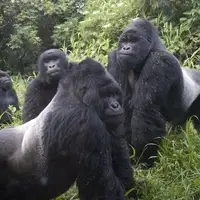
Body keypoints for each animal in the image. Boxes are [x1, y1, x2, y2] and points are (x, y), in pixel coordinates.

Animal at [0, 57, 136, 200]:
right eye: (104, 95)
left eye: (114, 94)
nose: (115, 105)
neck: (74, 96)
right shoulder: (85, 122)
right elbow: (101, 186)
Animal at [108, 17, 200, 167]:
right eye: (124, 41)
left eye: (134, 41)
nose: (125, 48)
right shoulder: (115, 58)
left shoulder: (158, 62)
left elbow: (145, 112)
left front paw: (144, 160)